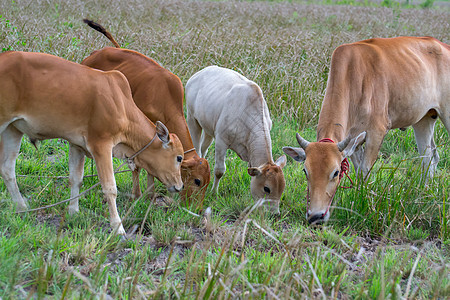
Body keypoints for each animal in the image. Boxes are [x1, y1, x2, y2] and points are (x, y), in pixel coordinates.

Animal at [0, 51, 185, 234]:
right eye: (179, 158)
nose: (180, 186)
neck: (121, 104)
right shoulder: (101, 145)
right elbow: (110, 188)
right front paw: (118, 228)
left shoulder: (76, 145)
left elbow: (76, 178)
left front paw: (73, 212)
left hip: (12, 130)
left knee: (7, 168)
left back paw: (21, 207)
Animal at [81, 18, 211, 206]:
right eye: (197, 180)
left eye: (207, 183)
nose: (197, 209)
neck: (164, 95)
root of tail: (96, 53)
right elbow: (137, 164)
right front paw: (138, 194)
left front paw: (151, 195)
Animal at [185, 65, 284, 212]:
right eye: (267, 188)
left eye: (282, 189)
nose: (274, 213)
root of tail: (199, 72)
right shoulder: (221, 140)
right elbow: (219, 170)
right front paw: (214, 193)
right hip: (192, 118)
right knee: (196, 148)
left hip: (208, 127)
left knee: (203, 149)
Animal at [284, 36, 448, 225]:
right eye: (305, 171)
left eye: (336, 172)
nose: (316, 216)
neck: (352, 75)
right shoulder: (354, 141)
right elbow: (358, 170)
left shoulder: (376, 133)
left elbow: (364, 171)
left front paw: (363, 203)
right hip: (424, 119)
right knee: (429, 158)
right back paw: (422, 194)